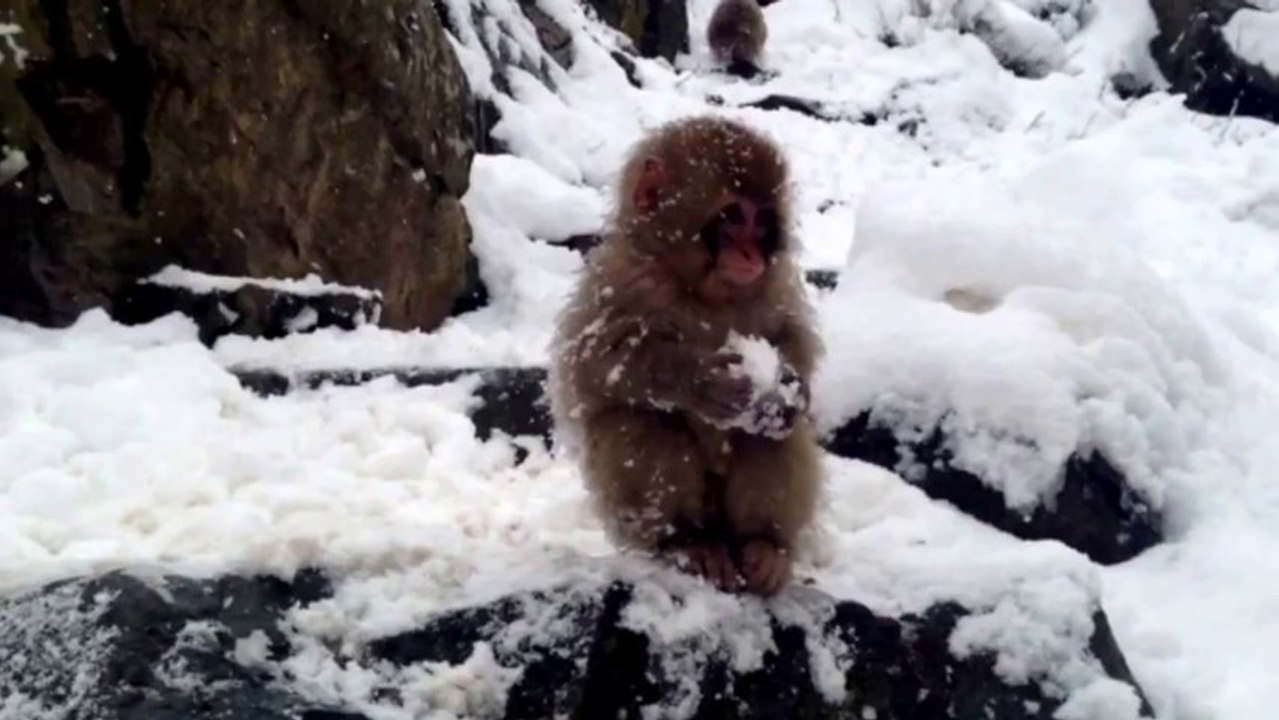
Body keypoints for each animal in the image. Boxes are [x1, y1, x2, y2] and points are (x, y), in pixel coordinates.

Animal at [549, 116, 823, 596]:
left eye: (762, 221)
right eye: (732, 217)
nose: (750, 253)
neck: (699, 291)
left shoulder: (776, 286)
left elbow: (793, 337)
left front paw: (790, 385)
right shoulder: (620, 279)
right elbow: (594, 363)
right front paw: (700, 381)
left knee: (777, 434)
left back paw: (764, 545)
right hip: (633, 522)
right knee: (642, 419)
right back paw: (687, 540)